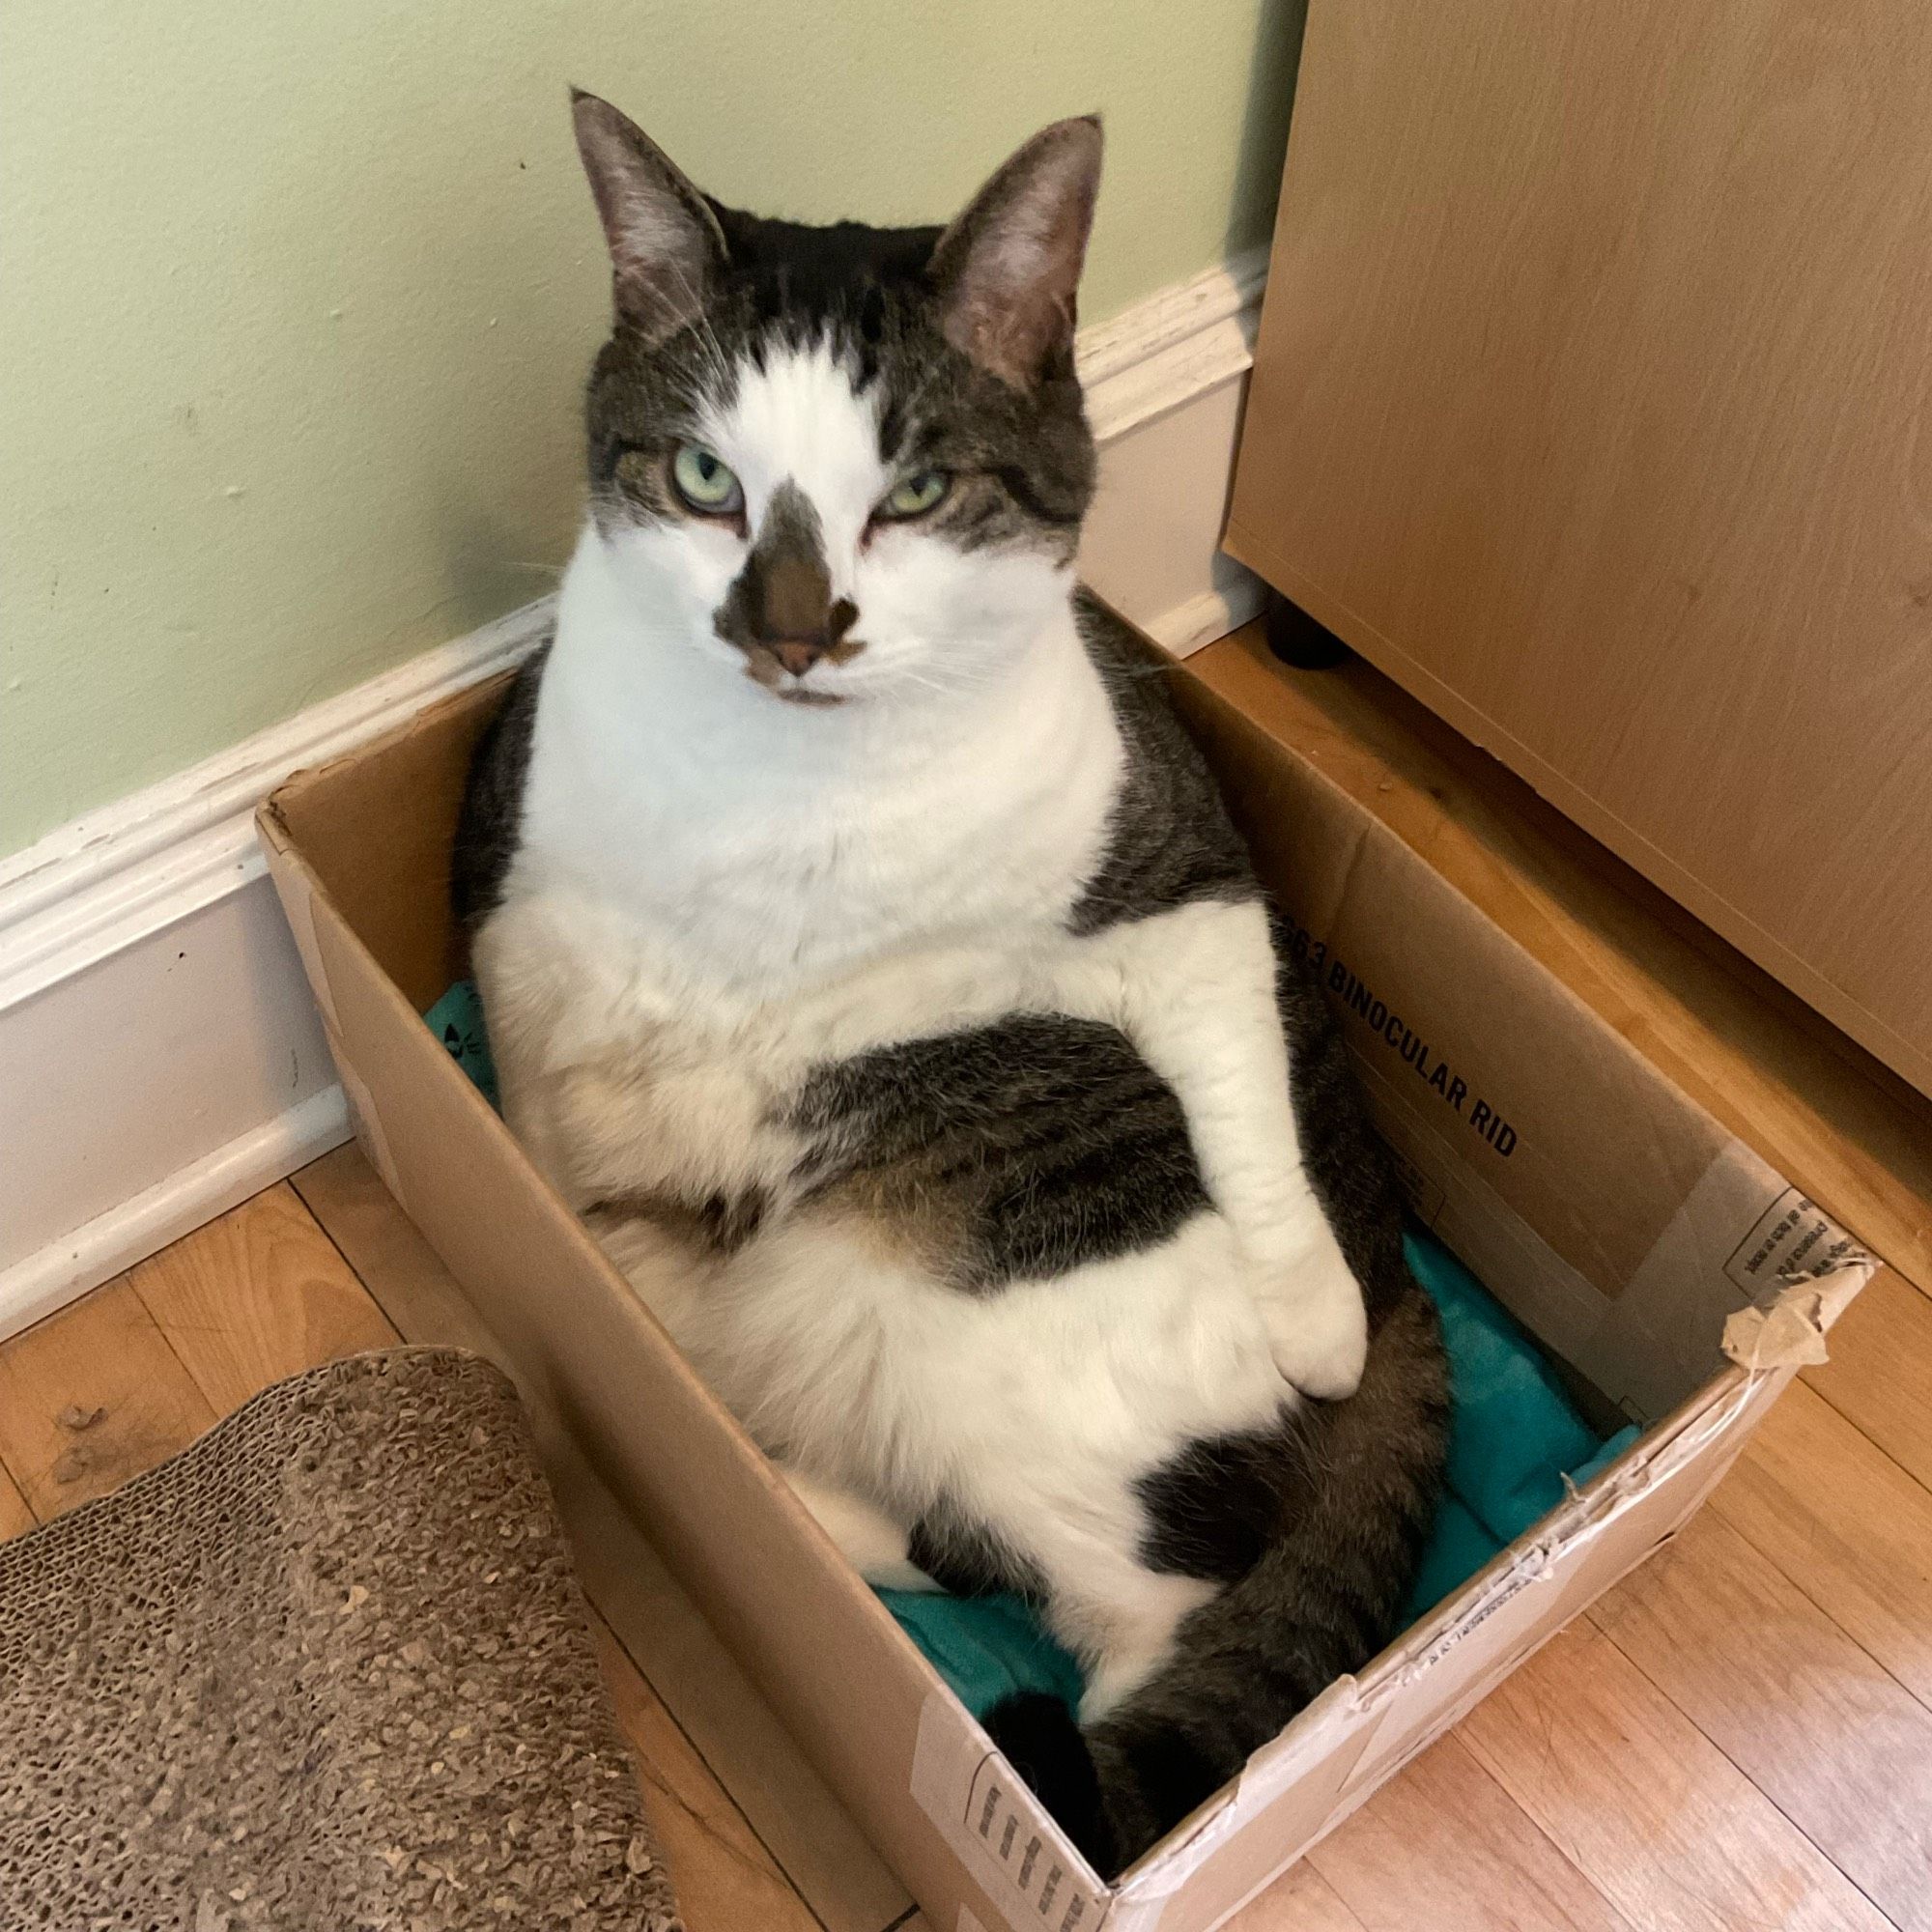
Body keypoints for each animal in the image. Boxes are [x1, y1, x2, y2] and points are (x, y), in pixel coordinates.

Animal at [456, 87, 1453, 1870]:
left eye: (912, 493)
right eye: (705, 478)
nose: (793, 629)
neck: (794, 808)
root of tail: (1422, 1281)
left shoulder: (1183, 879)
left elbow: (1234, 1062)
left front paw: (1306, 1311)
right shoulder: (519, 927)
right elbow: (548, 1126)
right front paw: (593, 1236)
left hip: (970, 1346)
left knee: (1141, 1606)